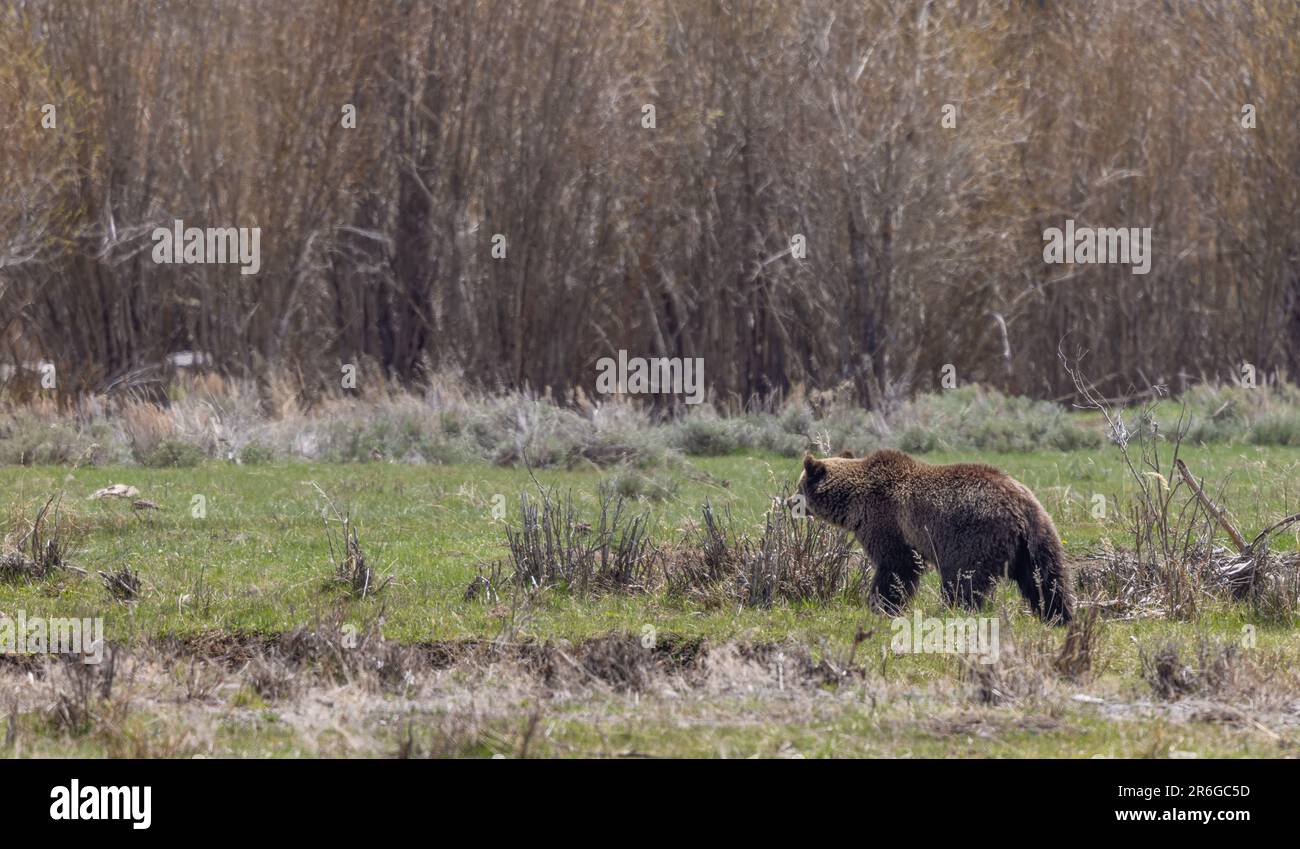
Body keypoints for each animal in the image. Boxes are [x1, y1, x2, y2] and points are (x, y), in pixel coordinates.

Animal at [789, 449, 1072, 623]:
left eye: (799, 485)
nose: (790, 502)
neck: (853, 502)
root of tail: (1019, 505)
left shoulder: (889, 523)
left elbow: (895, 566)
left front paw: (880, 605)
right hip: (1038, 537)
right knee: (1046, 579)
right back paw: (1058, 617)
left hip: (972, 537)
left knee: (961, 581)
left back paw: (953, 611)